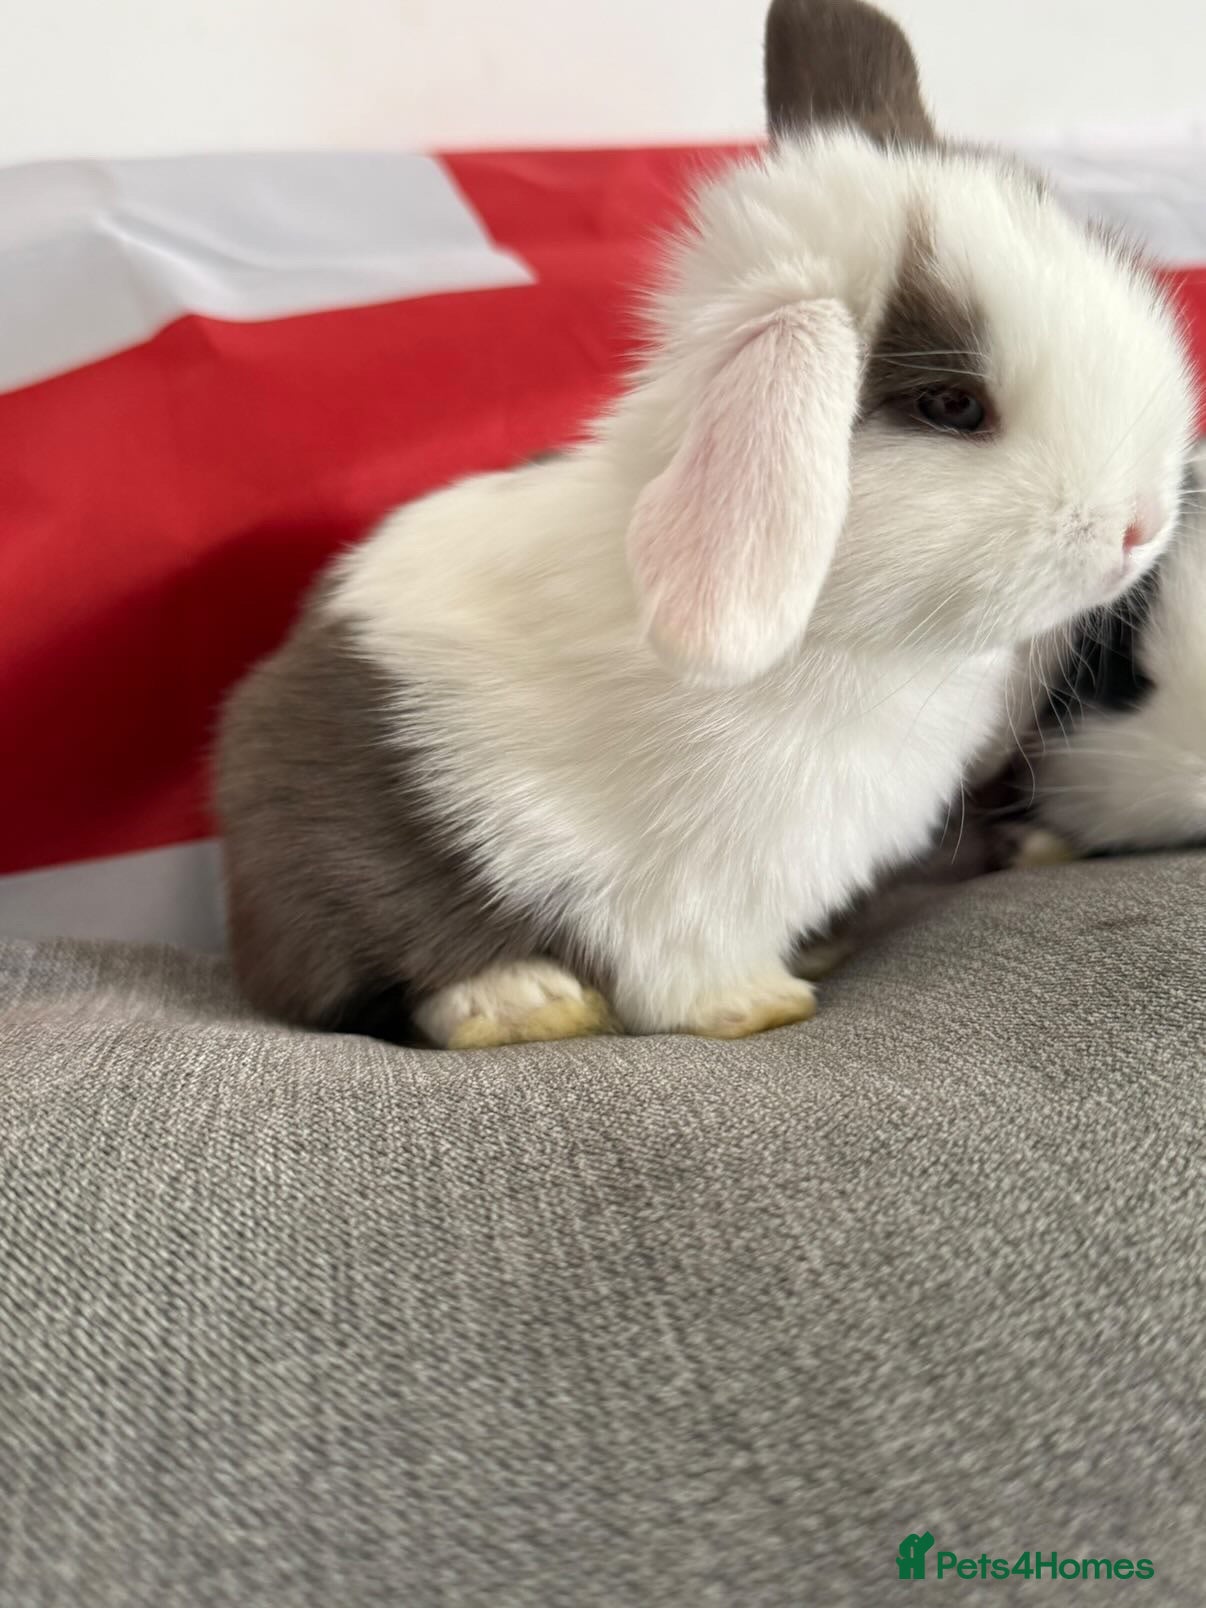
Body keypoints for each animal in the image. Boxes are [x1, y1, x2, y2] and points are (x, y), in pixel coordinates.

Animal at [215, 0, 1197, 1049]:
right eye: (952, 406)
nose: (1140, 526)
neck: (853, 637)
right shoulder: (691, 890)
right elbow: (682, 970)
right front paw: (758, 1005)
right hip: (344, 860)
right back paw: (522, 1001)